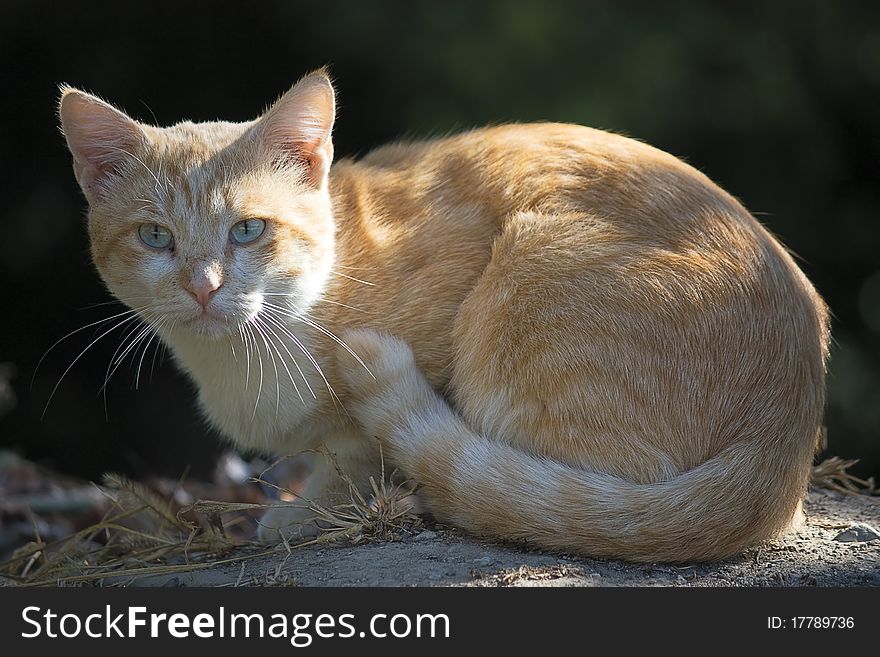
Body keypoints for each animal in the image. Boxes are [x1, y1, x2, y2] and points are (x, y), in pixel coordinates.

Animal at [58, 73, 828, 564]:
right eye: (155, 237)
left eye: (249, 230)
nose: (204, 287)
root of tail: (785, 438)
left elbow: (356, 451)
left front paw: (309, 510)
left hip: (522, 294)